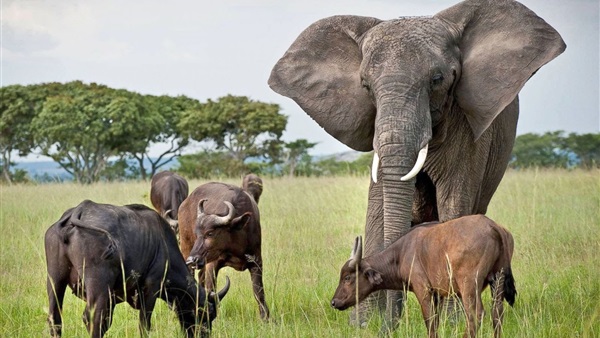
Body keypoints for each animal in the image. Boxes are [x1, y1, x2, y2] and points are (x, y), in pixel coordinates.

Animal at [44, 201, 230, 338]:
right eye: (208, 313)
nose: (204, 333)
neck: (165, 246)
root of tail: (79, 210)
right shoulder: (151, 288)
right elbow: (144, 325)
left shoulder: (112, 299)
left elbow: (107, 323)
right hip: (98, 286)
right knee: (93, 319)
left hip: (55, 281)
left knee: (56, 320)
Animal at [178, 182, 270, 320]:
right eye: (197, 234)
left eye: (210, 233)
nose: (192, 259)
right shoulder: (212, 265)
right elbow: (211, 289)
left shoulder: (256, 261)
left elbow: (258, 291)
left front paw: (266, 317)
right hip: (186, 249)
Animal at [330, 215, 512, 336]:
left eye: (347, 278)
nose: (334, 302)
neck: (402, 252)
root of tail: (493, 226)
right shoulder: (438, 295)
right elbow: (436, 321)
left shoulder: (423, 289)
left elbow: (430, 321)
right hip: (498, 281)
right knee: (497, 313)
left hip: (469, 286)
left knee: (475, 314)